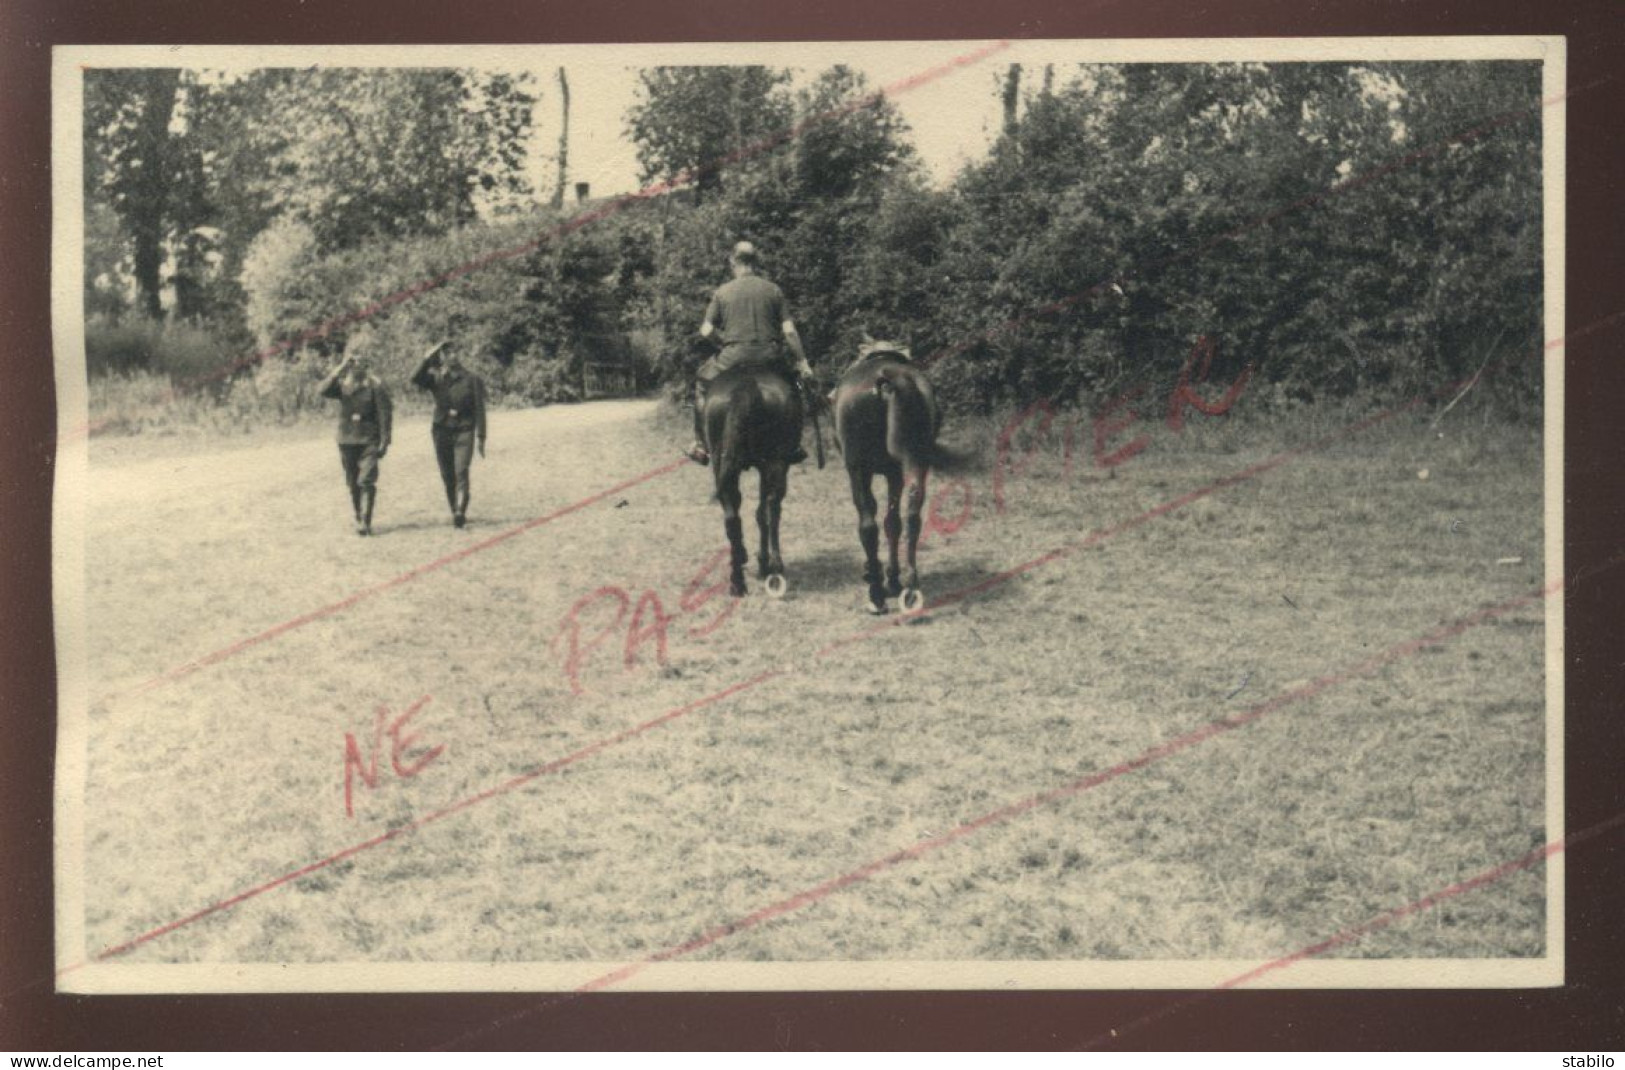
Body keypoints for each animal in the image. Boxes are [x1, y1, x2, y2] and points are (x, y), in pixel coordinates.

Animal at [832, 338, 949, 611]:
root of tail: (890, 379)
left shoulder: (863, 470)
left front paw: (875, 573)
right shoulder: (894, 472)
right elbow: (893, 523)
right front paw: (894, 579)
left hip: (857, 468)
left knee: (868, 525)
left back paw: (875, 593)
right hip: (917, 462)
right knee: (912, 515)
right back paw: (910, 585)